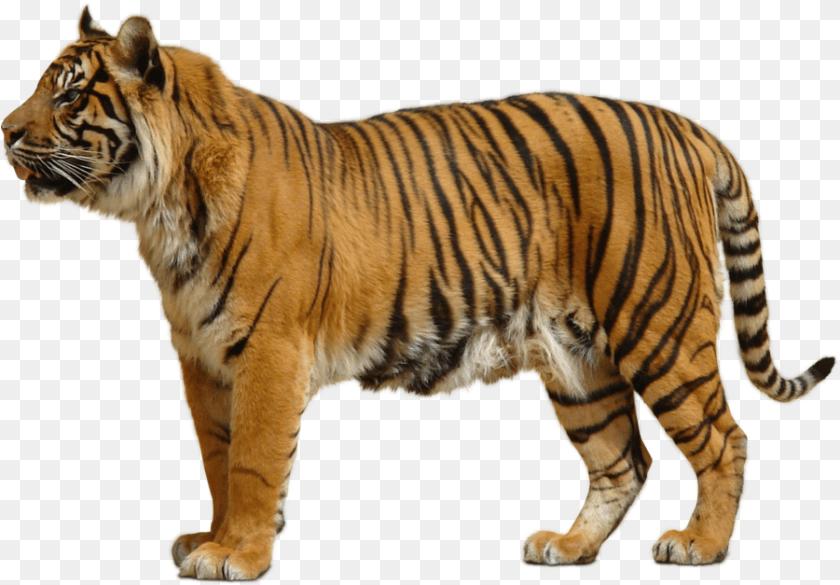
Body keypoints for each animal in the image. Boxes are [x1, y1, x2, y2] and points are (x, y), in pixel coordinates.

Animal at [3, 7, 834, 580]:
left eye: (69, 97)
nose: (5, 131)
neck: (161, 207)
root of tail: (690, 128)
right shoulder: (203, 357)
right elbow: (219, 456)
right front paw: (216, 535)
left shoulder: (269, 349)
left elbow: (255, 458)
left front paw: (235, 552)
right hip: (577, 359)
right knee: (622, 458)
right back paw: (568, 546)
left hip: (657, 323)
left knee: (724, 438)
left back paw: (700, 543)